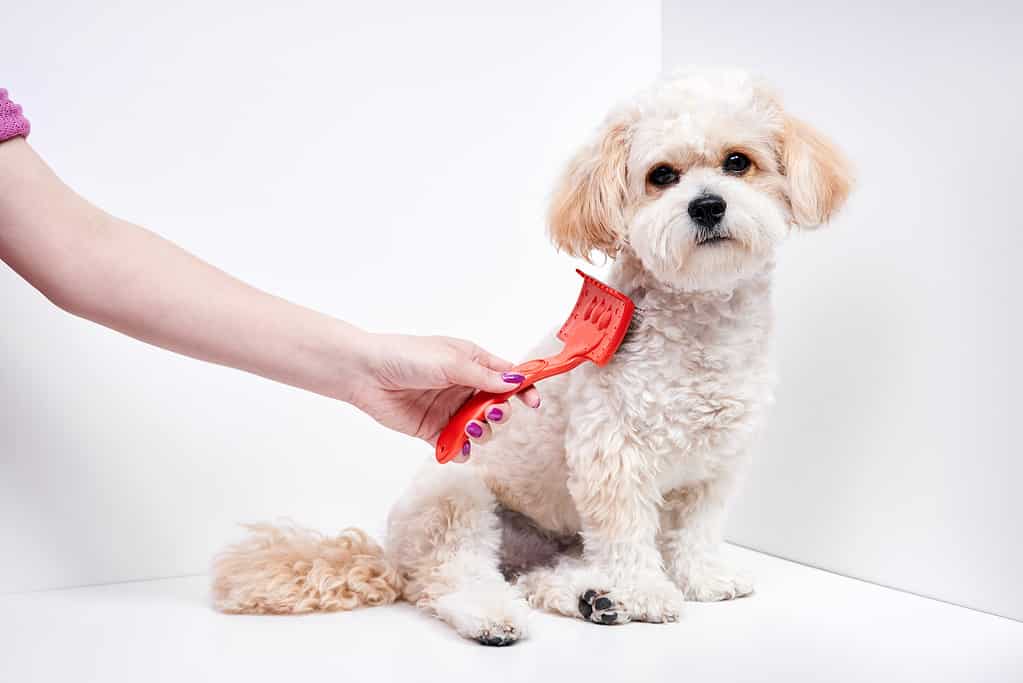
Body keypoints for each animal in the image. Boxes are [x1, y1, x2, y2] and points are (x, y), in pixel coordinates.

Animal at [211, 67, 851, 646]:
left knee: (541, 578)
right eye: (661, 176)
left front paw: (704, 578)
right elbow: (627, 536)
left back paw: (593, 598)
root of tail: (389, 554)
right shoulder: (611, 458)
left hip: (550, 541)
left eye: (738, 162)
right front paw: (647, 592)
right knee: (449, 579)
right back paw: (497, 617)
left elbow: (695, 531)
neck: (700, 329)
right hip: (457, 498)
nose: (708, 207)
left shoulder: (716, 465)